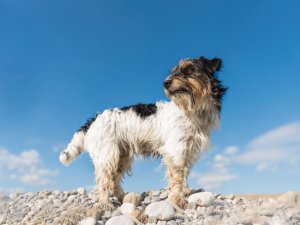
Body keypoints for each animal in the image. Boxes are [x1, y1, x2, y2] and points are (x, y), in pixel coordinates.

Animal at [59, 55, 226, 209]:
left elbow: (184, 173)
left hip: (122, 157)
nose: (165, 83)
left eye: (189, 69)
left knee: (115, 181)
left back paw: (124, 198)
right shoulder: (176, 150)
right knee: (105, 181)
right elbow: (177, 177)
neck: (192, 110)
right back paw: (105, 204)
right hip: (108, 156)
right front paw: (178, 199)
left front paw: (186, 191)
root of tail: (93, 120)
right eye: (173, 72)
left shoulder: (189, 150)